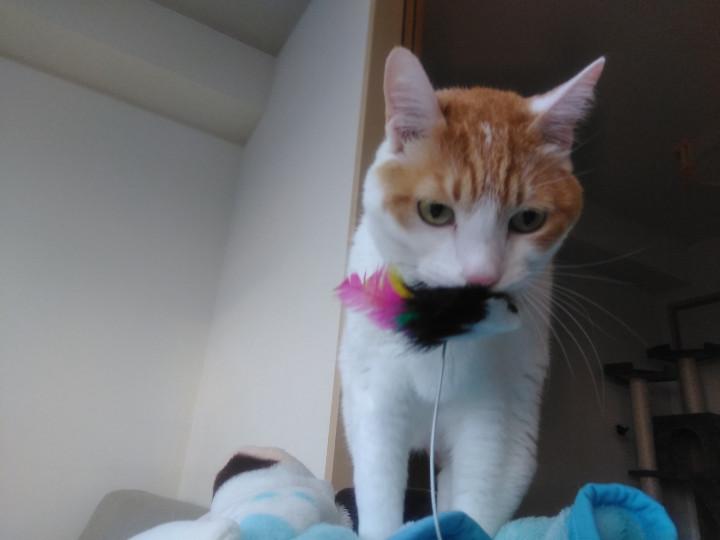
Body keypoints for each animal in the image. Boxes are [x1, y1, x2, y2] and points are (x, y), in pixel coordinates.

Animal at [339, 47, 604, 540]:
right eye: (435, 211)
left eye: (528, 219)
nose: (482, 276)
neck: (446, 328)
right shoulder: (374, 399)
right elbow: (379, 491)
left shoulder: (497, 418)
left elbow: (476, 500)